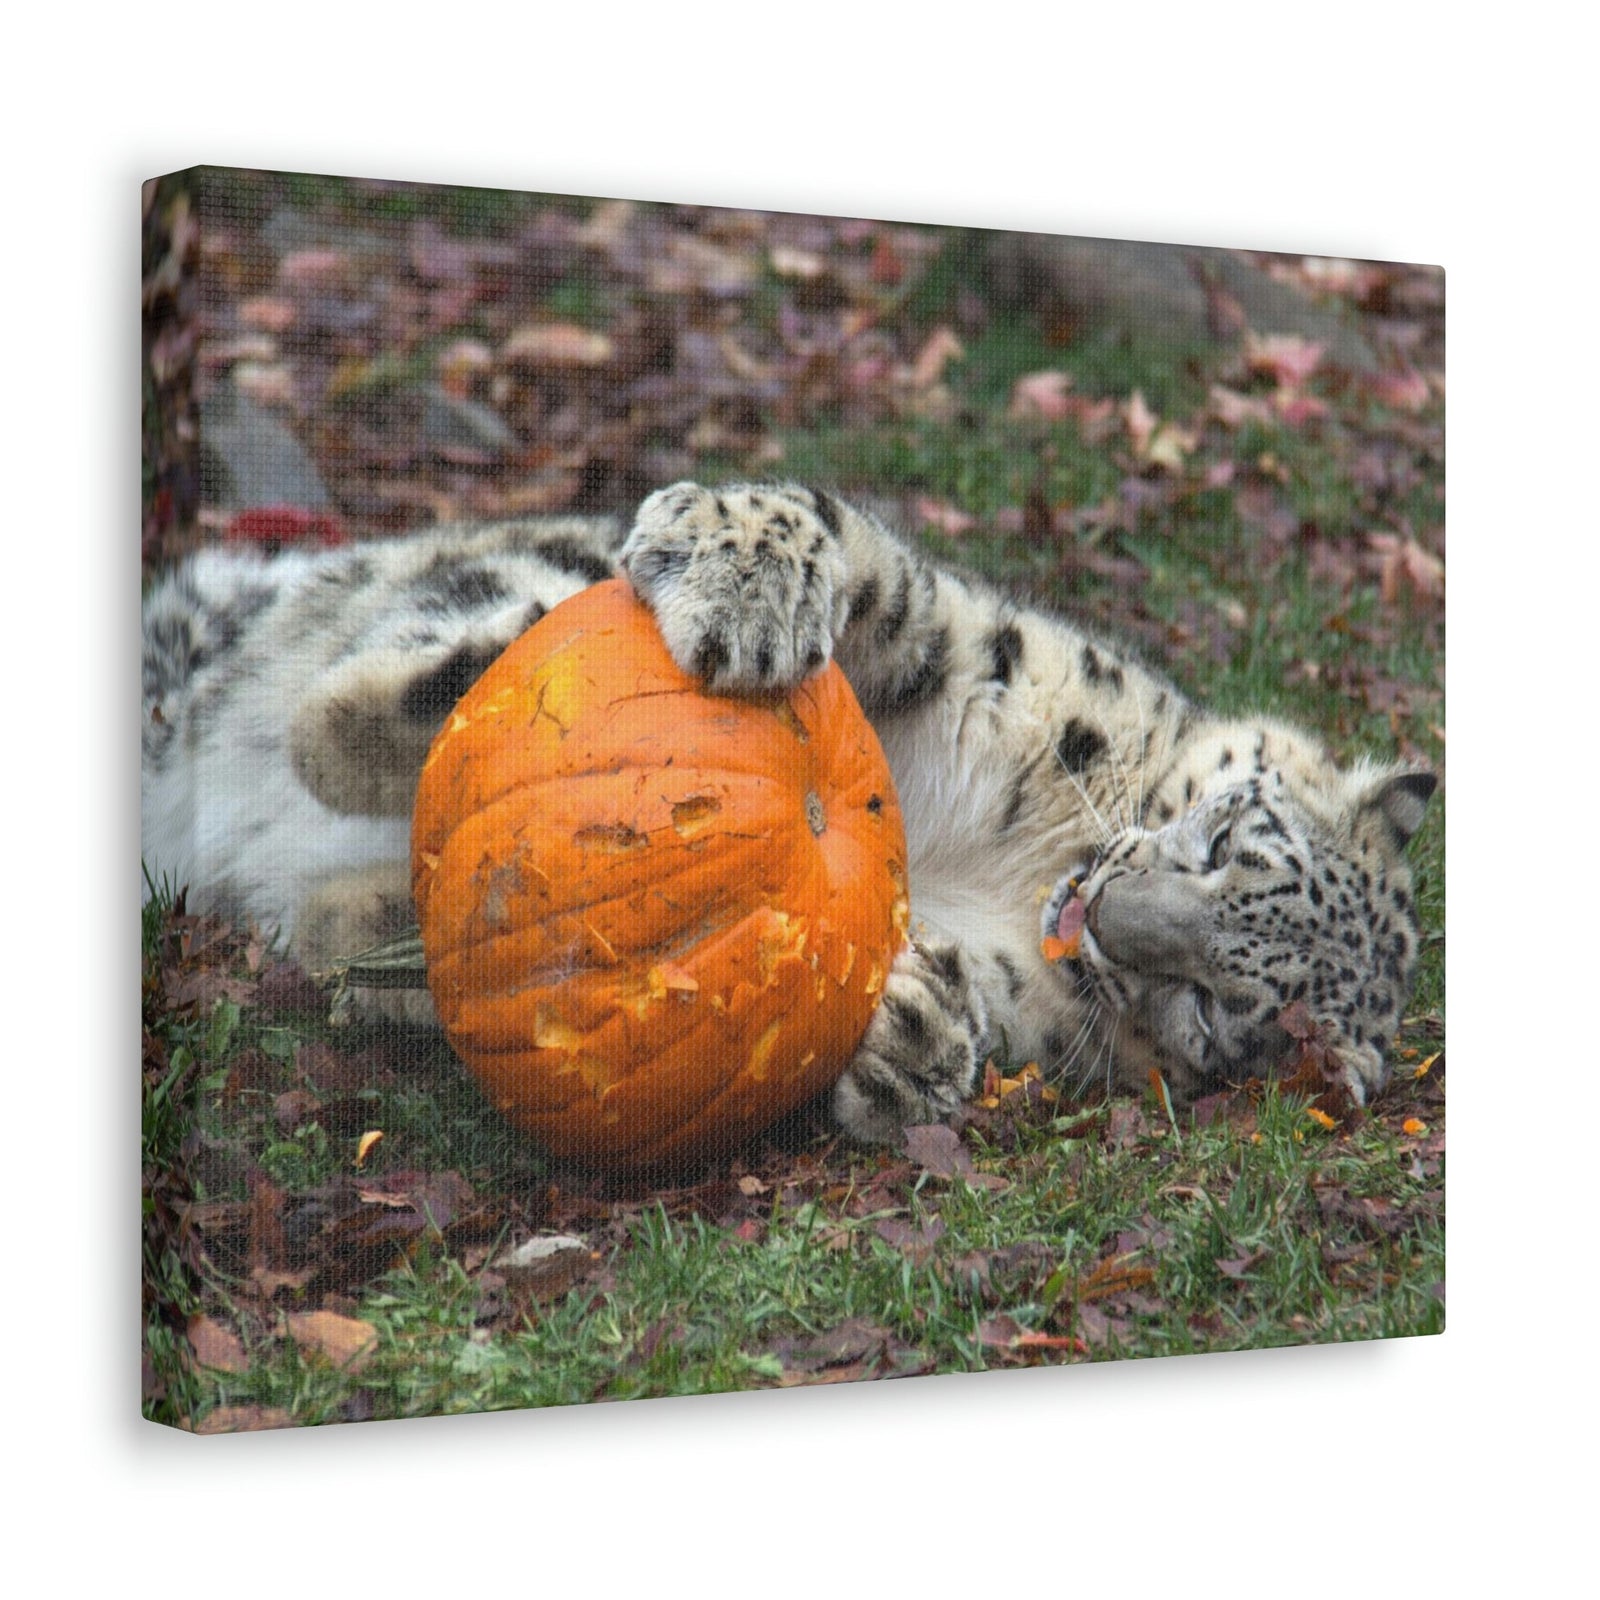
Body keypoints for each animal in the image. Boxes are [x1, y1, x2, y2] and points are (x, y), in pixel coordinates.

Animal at [142, 481, 1436, 1145]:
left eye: (1214, 1008)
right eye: (1223, 837)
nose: (1109, 914)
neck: (1036, 855)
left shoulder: (1043, 996)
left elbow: (978, 1002)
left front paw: (914, 1034)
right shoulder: (994, 658)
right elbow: (873, 569)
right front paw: (745, 580)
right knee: (422, 651)